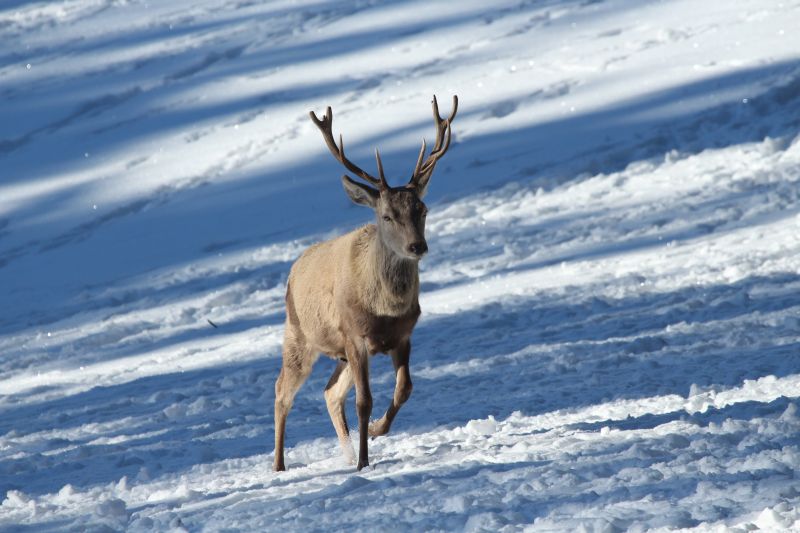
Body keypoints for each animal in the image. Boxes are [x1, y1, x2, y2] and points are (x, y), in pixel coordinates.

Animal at [274, 95, 456, 470]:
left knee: (329, 391)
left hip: (340, 352)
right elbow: (364, 401)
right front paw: (363, 462)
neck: (386, 309)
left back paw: (343, 451)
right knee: (282, 391)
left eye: (423, 209)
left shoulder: (402, 335)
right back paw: (279, 465)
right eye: (387, 215)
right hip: (300, 335)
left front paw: (374, 431)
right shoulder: (354, 335)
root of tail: (293, 270)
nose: (417, 246)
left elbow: (404, 389)